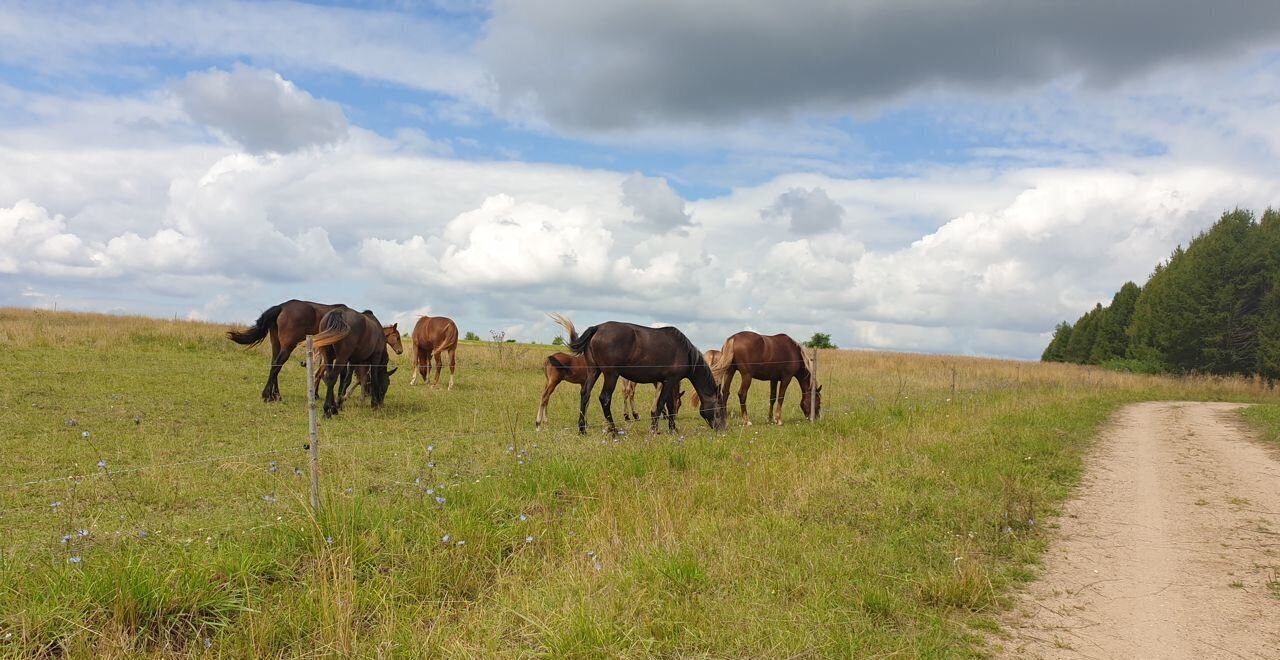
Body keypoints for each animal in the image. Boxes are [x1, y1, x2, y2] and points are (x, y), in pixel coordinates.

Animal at [555, 313, 727, 432]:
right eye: (719, 409)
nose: (721, 429)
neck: (686, 353)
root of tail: (597, 328)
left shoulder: (667, 382)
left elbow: (669, 405)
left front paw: (673, 429)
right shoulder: (670, 381)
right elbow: (662, 404)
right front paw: (655, 429)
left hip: (593, 371)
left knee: (585, 394)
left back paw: (582, 429)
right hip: (611, 374)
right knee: (604, 398)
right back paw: (614, 431)